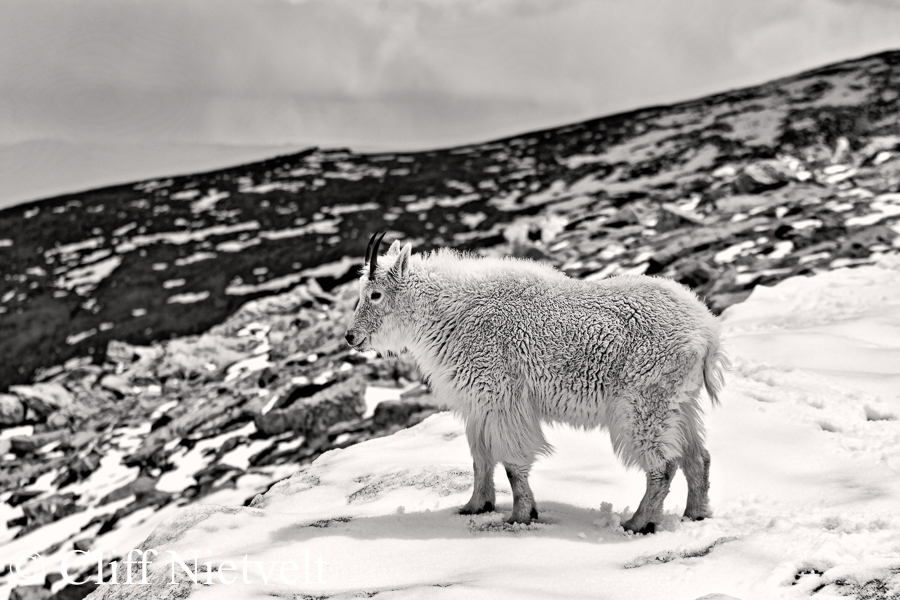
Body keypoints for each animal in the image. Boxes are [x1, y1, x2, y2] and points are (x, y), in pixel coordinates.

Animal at [344, 231, 728, 534]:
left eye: (375, 294)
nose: (351, 336)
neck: (449, 312)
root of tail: (707, 331)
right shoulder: (478, 403)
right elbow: (480, 458)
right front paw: (474, 506)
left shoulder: (501, 396)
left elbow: (513, 462)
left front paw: (521, 515)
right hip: (679, 401)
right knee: (698, 456)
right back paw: (695, 513)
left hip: (644, 401)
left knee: (663, 463)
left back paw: (638, 522)